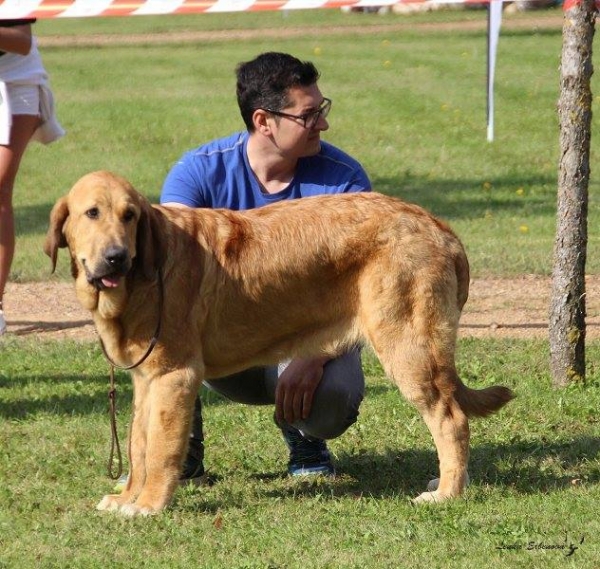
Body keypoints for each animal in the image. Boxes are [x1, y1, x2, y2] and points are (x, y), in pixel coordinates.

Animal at [44, 169, 512, 516]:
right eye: (92, 213)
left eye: (129, 216)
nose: (116, 257)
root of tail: (438, 226)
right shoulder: (147, 380)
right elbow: (139, 445)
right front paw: (127, 498)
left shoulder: (175, 376)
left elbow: (159, 449)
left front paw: (149, 505)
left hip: (409, 350)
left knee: (452, 420)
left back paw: (447, 492)